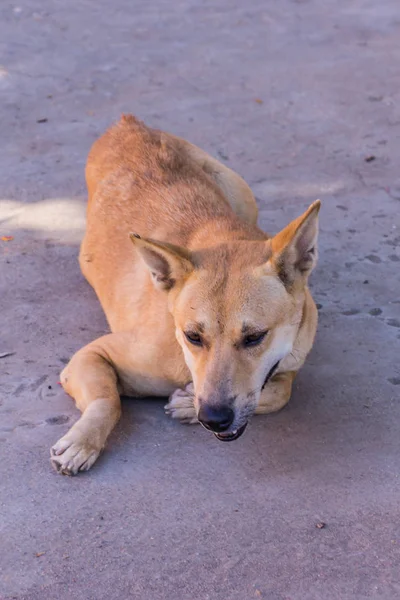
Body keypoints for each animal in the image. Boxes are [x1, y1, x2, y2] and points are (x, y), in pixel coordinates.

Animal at [50, 115, 320, 476]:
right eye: (192, 336)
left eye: (254, 337)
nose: (214, 418)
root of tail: (127, 123)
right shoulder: (91, 356)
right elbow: (108, 400)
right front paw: (82, 441)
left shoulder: (290, 363)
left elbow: (281, 393)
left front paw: (188, 404)